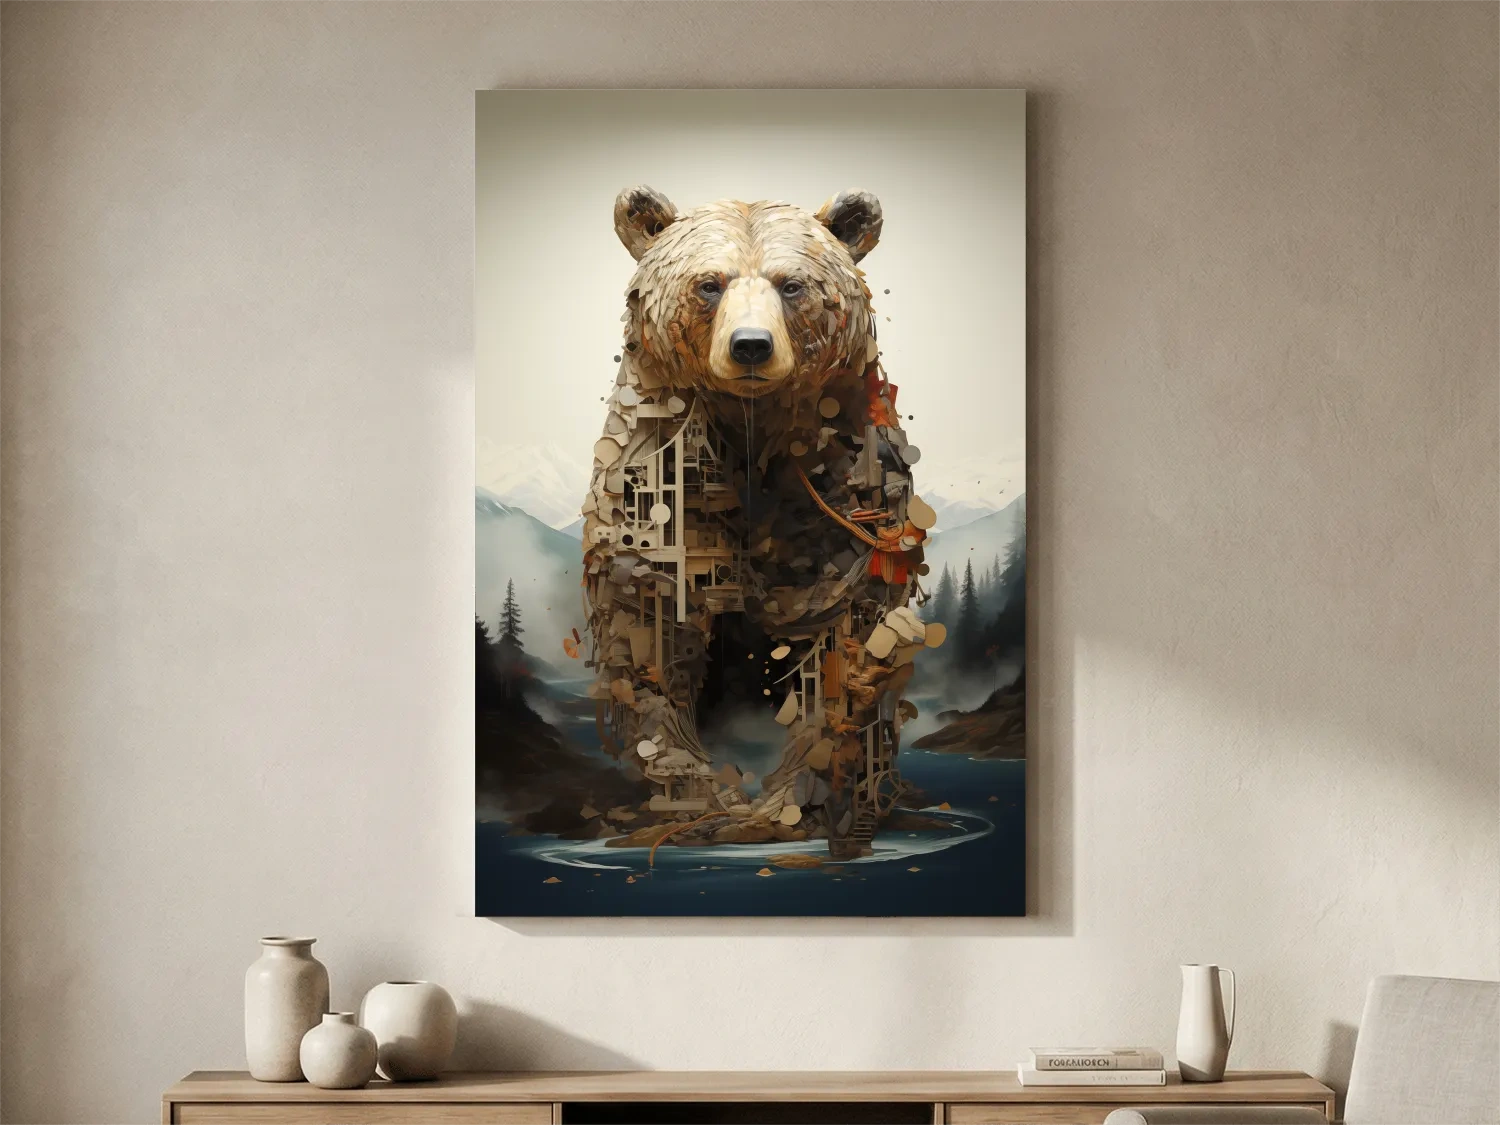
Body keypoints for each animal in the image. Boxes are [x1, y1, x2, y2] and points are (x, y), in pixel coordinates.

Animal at [579, 185, 943, 859]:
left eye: (790, 284)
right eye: (710, 284)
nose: (751, 345)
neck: (751, 430)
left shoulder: (841, 496)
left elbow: (838, 645)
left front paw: (793, 802)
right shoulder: (660, 495)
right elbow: (651, 643)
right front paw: (705, 802)